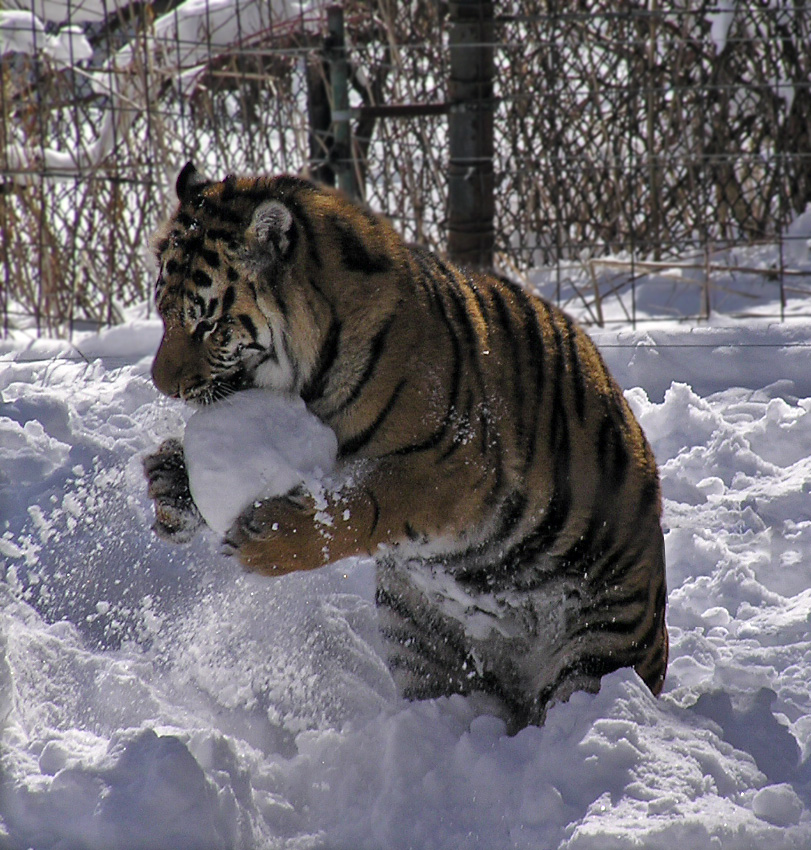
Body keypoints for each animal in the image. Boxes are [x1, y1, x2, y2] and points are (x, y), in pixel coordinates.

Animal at [143, 161, 668, 728]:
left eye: (209, 324)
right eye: (162, 314)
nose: (161, 384)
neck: (314, 370)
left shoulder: (460, 469)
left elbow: (360, 508)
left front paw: (270, 539)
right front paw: (170, 482)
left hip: (600, 651)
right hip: (422, 647)